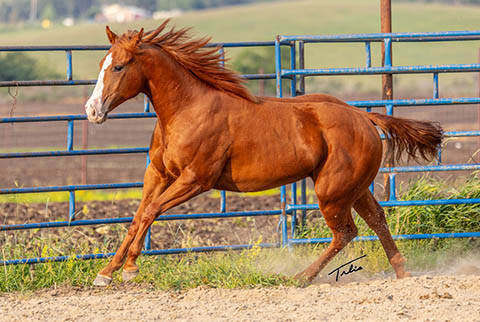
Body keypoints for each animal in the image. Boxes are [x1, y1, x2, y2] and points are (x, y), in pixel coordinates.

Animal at [84, 21, 440, 286]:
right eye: (100, 65)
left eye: (118, 67)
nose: (91, 111)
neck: (187, 110)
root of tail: (364, 116)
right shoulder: (158, 174)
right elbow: (137, 217)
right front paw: (107, 272)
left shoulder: (195, 180)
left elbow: (150, 211)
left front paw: (130, 269)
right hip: (354, 188)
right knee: (377, 220)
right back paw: (402, 272)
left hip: (332, 192)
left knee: (345, 233)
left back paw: (301, 277)